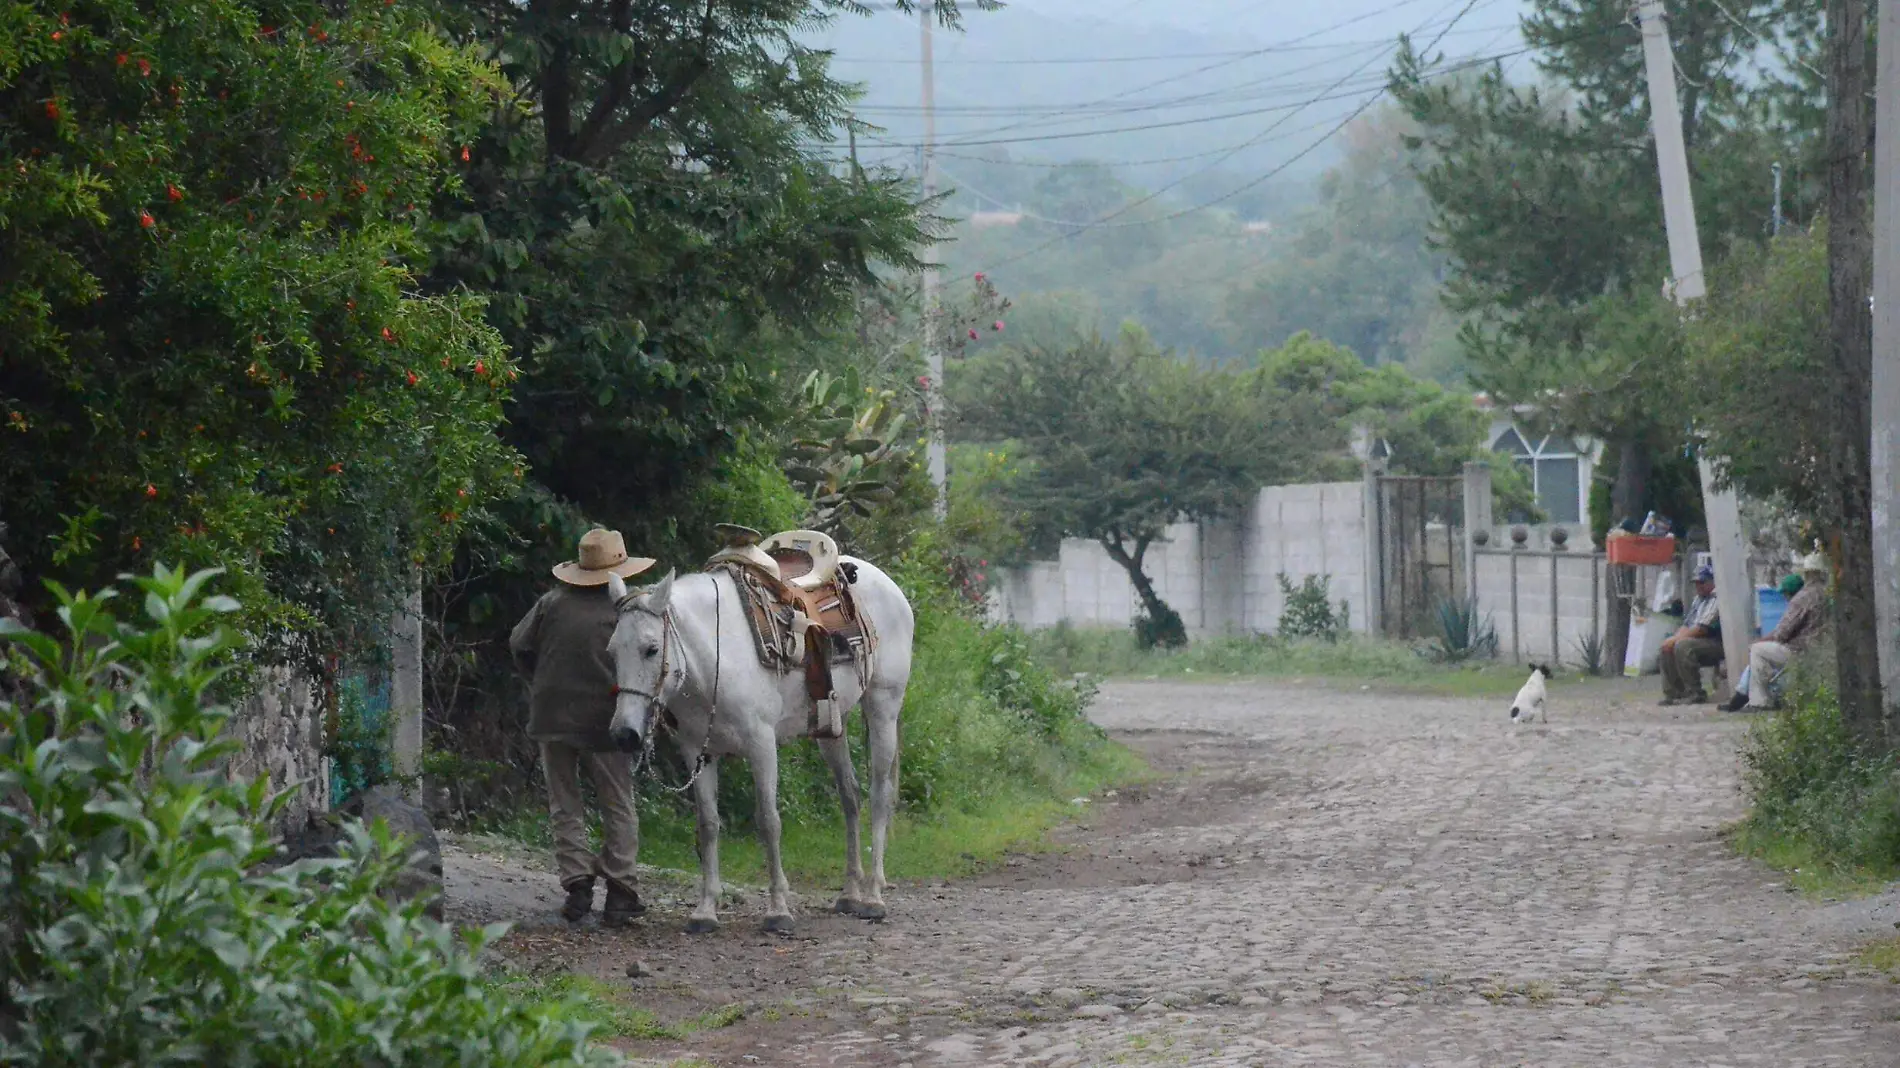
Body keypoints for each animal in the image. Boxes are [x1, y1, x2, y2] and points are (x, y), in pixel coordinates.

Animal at [604, 562, 908, 927]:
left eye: (651, 649)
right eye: (612, 652)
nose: (624, 734)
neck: (717, 657)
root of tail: (887, 583)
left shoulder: (762, 746)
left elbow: (768, 821)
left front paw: (778, 910)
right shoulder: (698, 752)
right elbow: (708, 824)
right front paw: (705, 910)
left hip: (883, 709)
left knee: (879, 796)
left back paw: (874, 896)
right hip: (830, 726)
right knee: (850, 797)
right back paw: (850, 893)